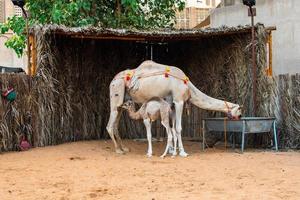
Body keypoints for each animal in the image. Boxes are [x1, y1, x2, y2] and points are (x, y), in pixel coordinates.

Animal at [106, 60, 241, 155]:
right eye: (240, 110)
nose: (239, 117)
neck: (188, 87)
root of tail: (112, 80)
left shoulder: (171, 103)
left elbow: (171, 127)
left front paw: (172, 150)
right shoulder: (179, 100)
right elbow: (178, 128)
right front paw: (182, 152)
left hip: (123, 102)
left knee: (116, 122)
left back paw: (124, 148)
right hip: (116, 90)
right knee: (110, 124)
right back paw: (118, 150)